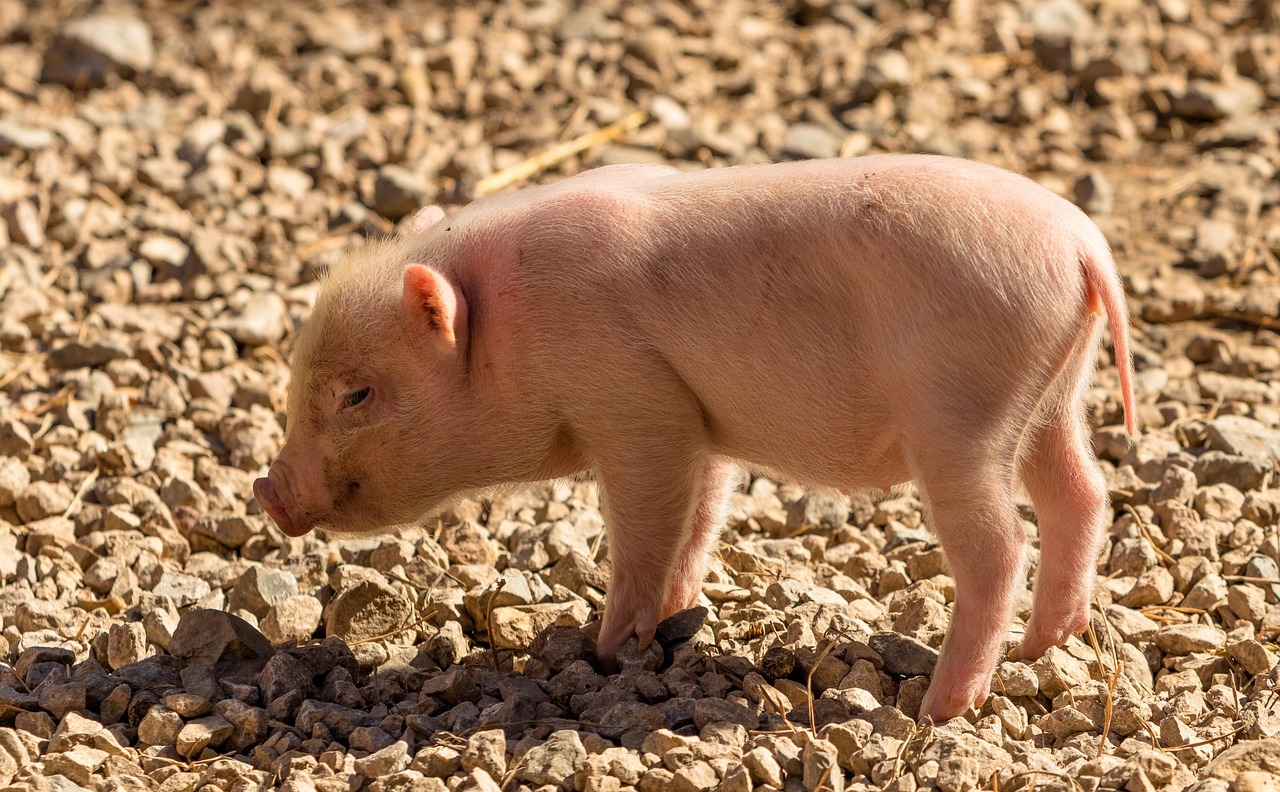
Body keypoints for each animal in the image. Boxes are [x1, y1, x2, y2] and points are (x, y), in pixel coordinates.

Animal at [253, 155, 1136, 722]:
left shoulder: (635, 408)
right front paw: (673, 622)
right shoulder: (696, 422)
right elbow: (701, 516)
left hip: (961, 413)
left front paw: (604, 652)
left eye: (357, 394)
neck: (510, 328)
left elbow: (646, 530)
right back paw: (1044, 648)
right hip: (1052, 395)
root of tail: (1083, 246)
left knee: (1000, 544)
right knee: (1082, 493)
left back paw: (943, 707)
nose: (267, 490)